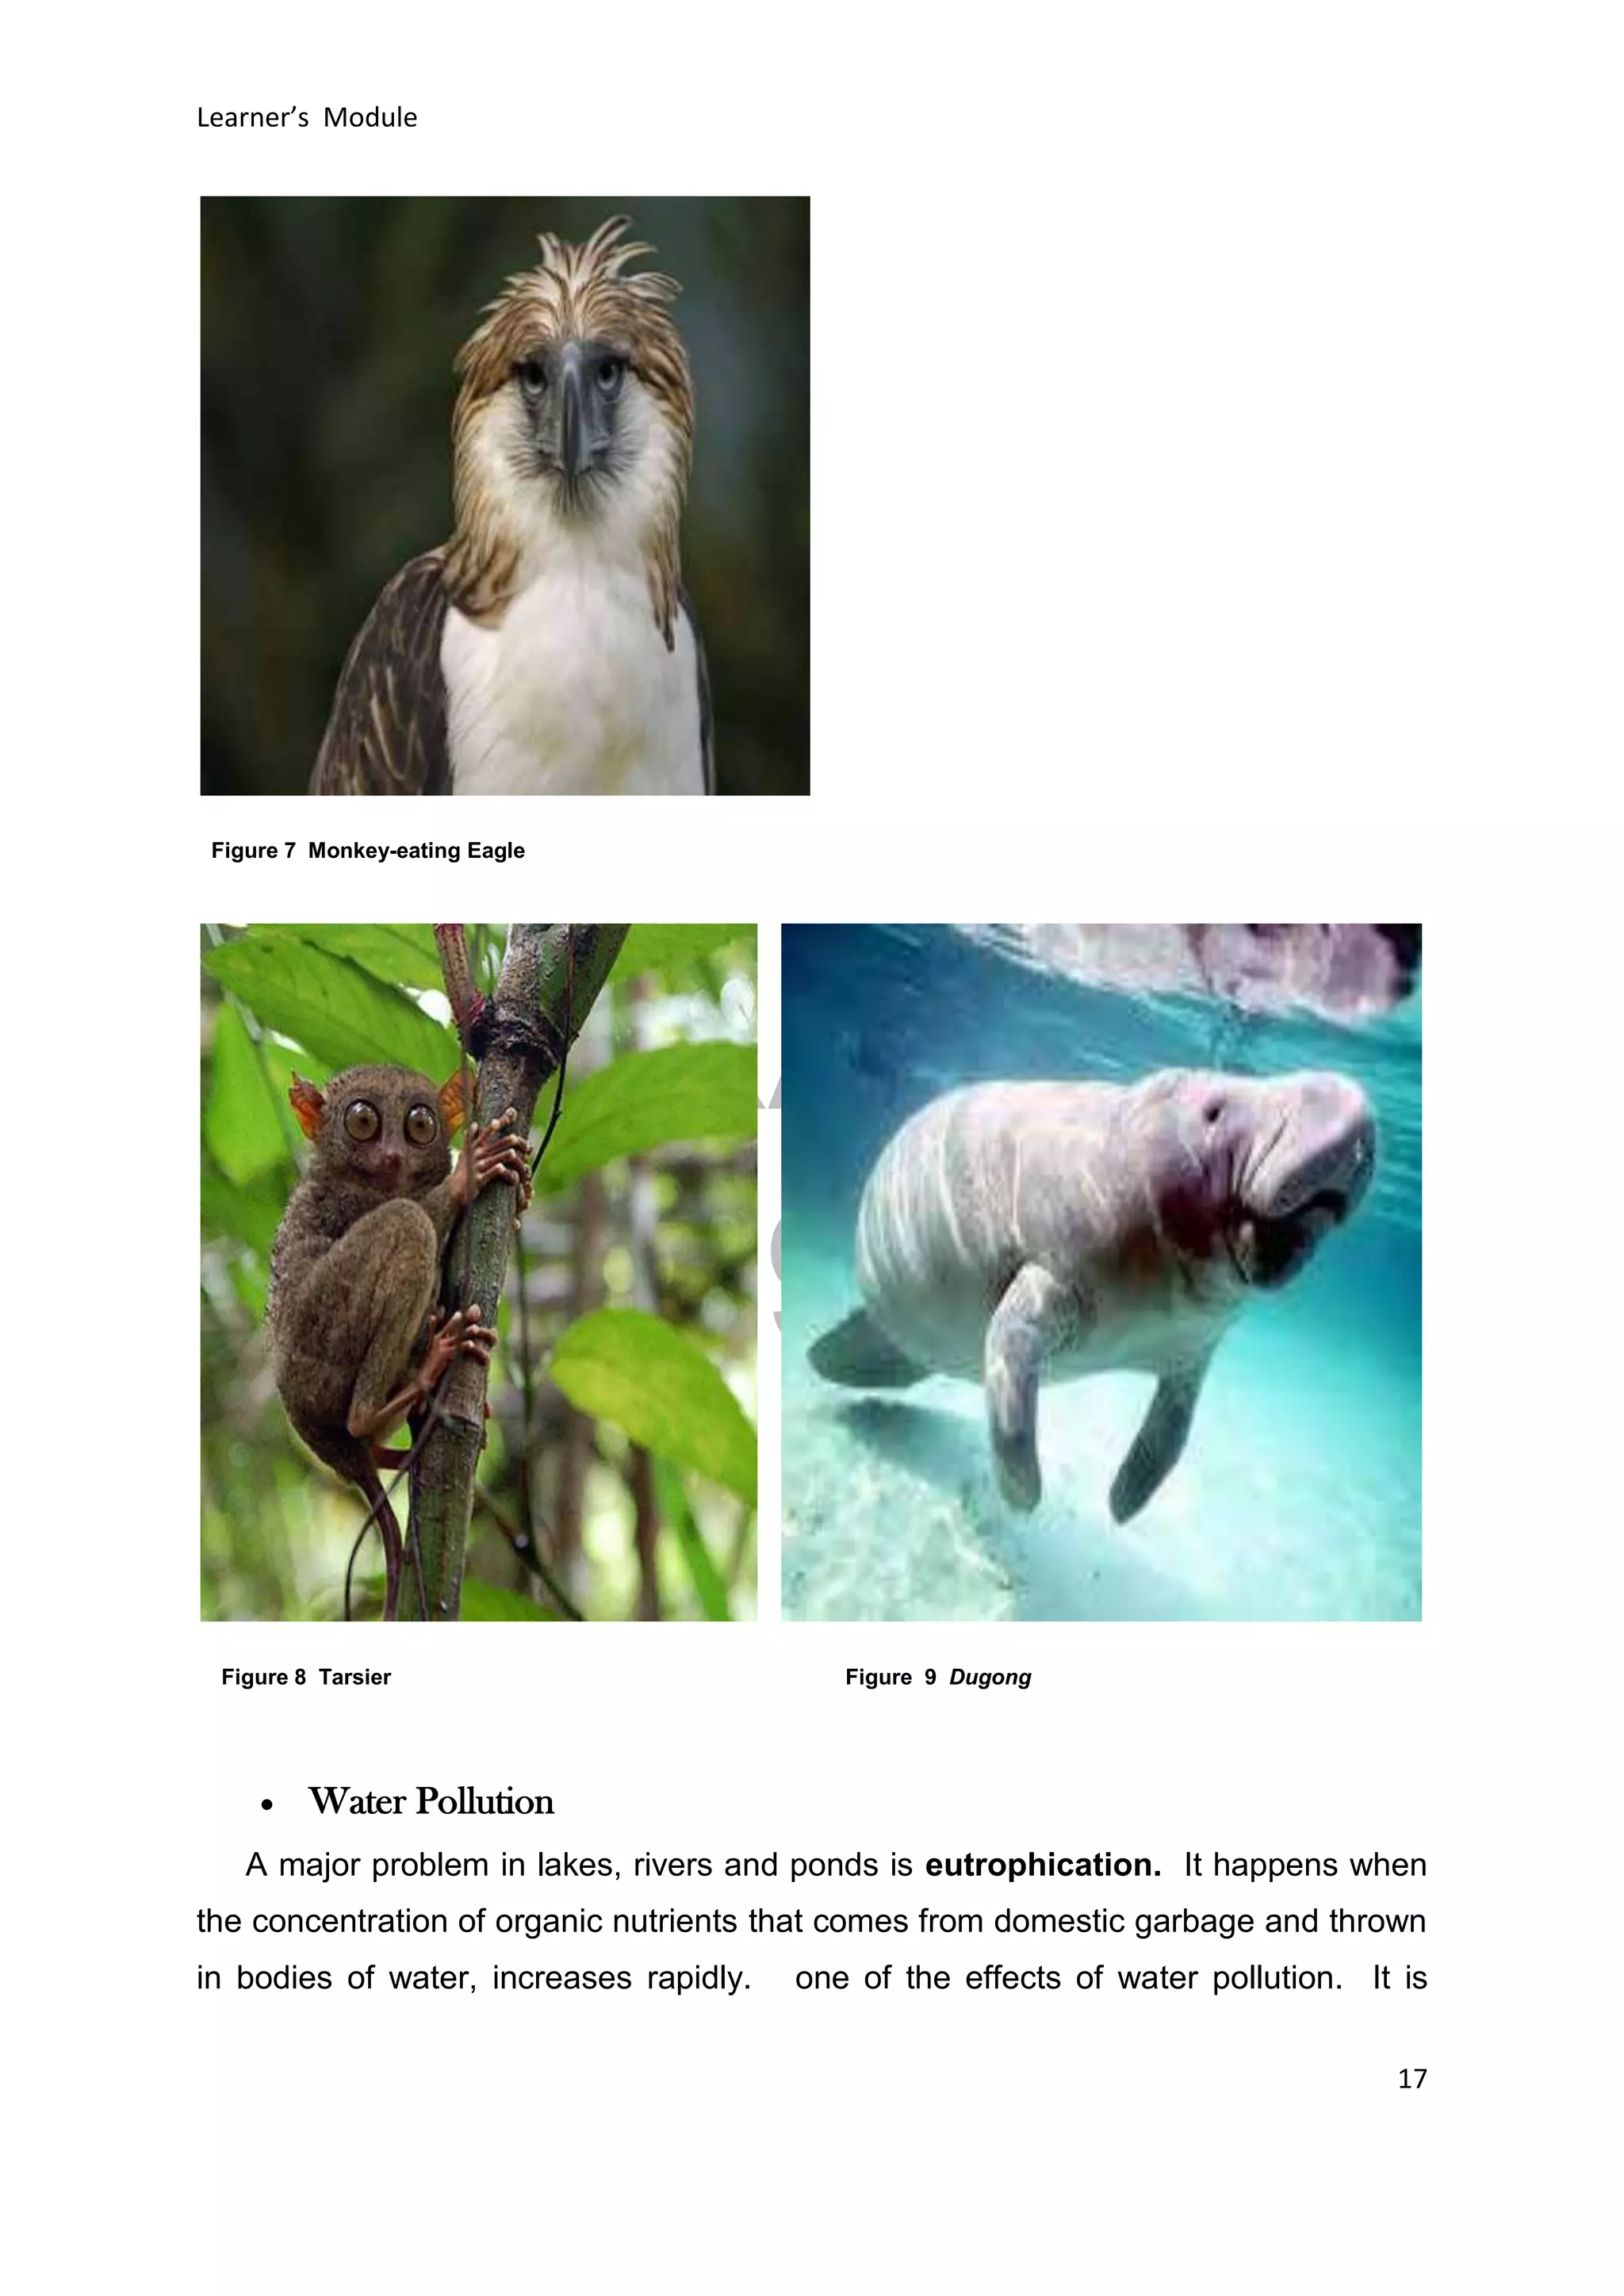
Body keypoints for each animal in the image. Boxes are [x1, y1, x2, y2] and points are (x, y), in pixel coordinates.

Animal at [267, 1063, 530, 1619]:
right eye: (363, 1122)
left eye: (420, 1125)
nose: (392, 1156)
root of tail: (335, 1453)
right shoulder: (347, 1202)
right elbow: (419, 1213)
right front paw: (466, 1175)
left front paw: (521, 1194)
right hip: (326, 1338)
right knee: (407, 1223)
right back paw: (425, 1368)